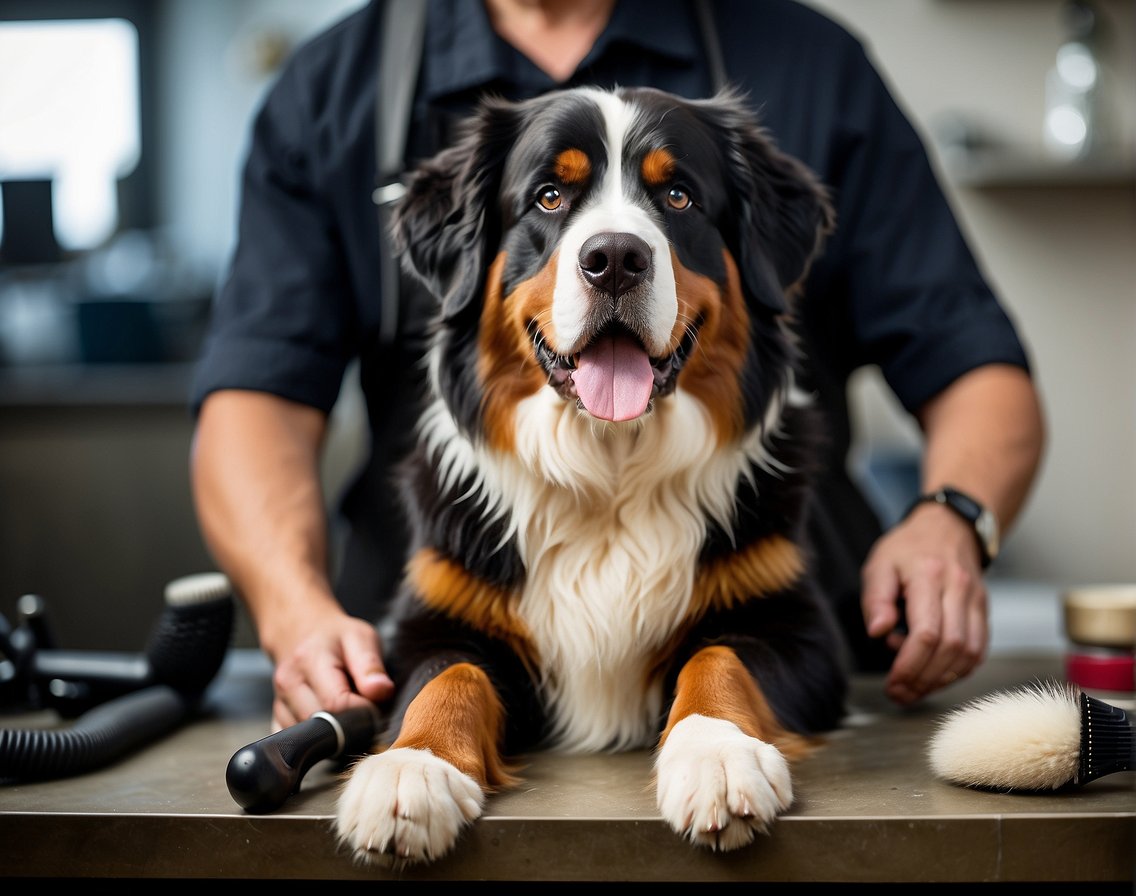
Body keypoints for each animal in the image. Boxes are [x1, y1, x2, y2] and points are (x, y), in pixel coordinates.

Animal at [331, 87, 849, 863]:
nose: (615, 259)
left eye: (677, 195)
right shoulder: (426, 625)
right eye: (549, 196)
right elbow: (445, 675)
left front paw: (717, 756)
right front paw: (409, 770)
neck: (609, 469)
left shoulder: (797, 629)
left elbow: (719, 659)